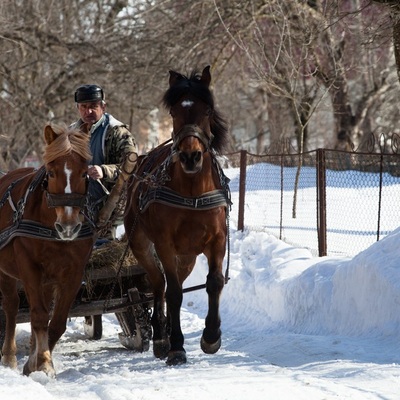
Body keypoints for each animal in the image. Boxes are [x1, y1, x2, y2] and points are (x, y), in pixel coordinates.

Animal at [0, 123, 94, 376]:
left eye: (84, 173)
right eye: (51, 173)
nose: (69, 226)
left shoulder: (73, 273)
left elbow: (57, 322)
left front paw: (36, 362)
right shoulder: (29, 268)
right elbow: (40, 317)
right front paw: (42, 362)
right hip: (6, 271)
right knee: (11, 307)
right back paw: (9, 357)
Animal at [125, 65, 231, 366]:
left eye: (207, 110)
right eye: (173, 112)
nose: (190, 156)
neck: (193, 191)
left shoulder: (218, 240)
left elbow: (214, 282)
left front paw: (211, 336)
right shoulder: (164, 244)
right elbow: (171, 293)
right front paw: (176, 346)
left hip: (187, 256)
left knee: (175, 285)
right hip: (142, 246)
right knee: (159, 285)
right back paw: (162, 336)